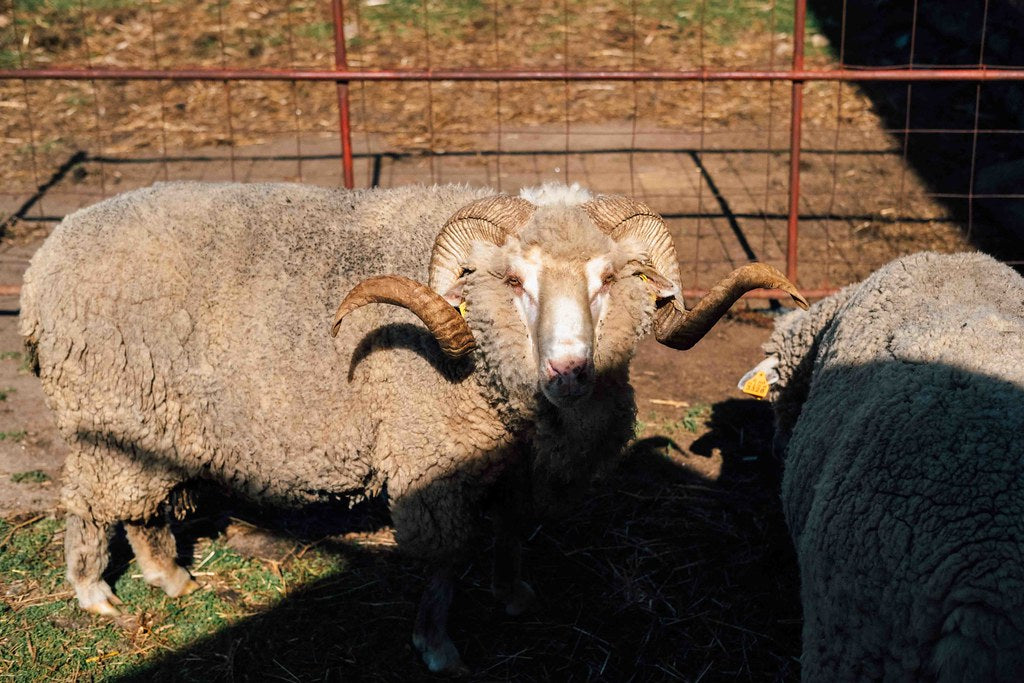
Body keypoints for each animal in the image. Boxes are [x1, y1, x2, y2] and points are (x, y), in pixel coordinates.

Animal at [21, 180, 805, 674]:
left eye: (610, 278)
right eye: (513, 281)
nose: (570, 369)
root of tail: (43, 263)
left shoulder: (511, 465)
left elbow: (511, 532)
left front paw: (514, 595)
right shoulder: (436, 461)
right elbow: (446, 559)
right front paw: (437, 646)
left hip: (146, 423)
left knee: (141, 507)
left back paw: (170, 578)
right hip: (101, 409)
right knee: (88, 503)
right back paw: (94, 593)